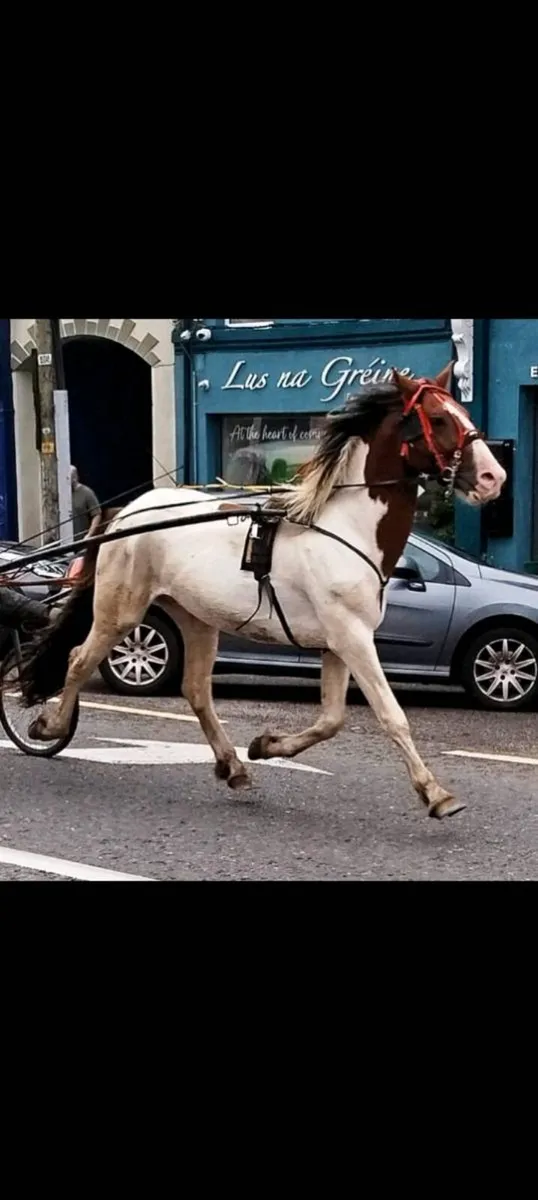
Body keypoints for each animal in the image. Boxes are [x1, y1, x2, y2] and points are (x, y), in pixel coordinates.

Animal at [19, 362, 506, 820]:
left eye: (464, 413)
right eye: (438, 419)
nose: (493, 477)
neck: (346, 527)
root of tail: (125, 511)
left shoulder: (339, 642)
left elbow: (332, 720)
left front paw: (266, 745)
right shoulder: (352, 636)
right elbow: (392, 715)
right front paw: (436, 793)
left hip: (196, 617)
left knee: (196, 689)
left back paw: (233, 765)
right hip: (121, 609)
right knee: (79, 659)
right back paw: (50, 725)